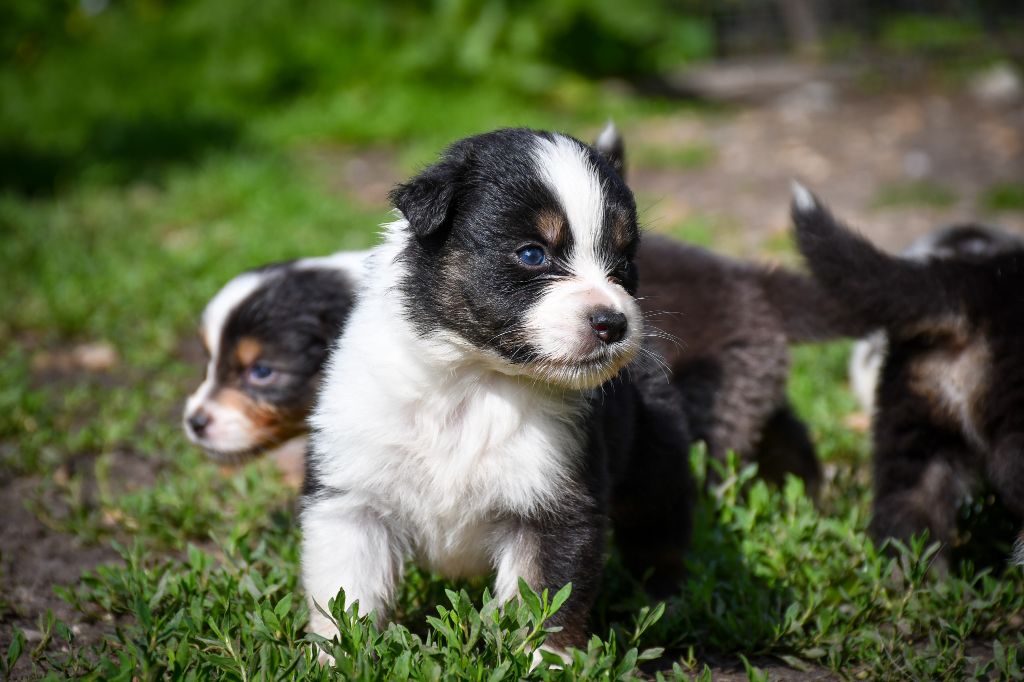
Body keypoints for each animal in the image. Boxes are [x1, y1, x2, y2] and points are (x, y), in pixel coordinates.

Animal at [301, 128, 697, 653]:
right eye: (532, 254)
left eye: (624, 260)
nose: (613, 323)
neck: (475, 378)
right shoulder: (352, 496)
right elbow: (346, 595)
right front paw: (339, 657)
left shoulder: (556, 503)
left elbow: (546, 602)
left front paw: (545, 662)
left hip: (656, 468)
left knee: (661, 536)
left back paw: (668, 605)